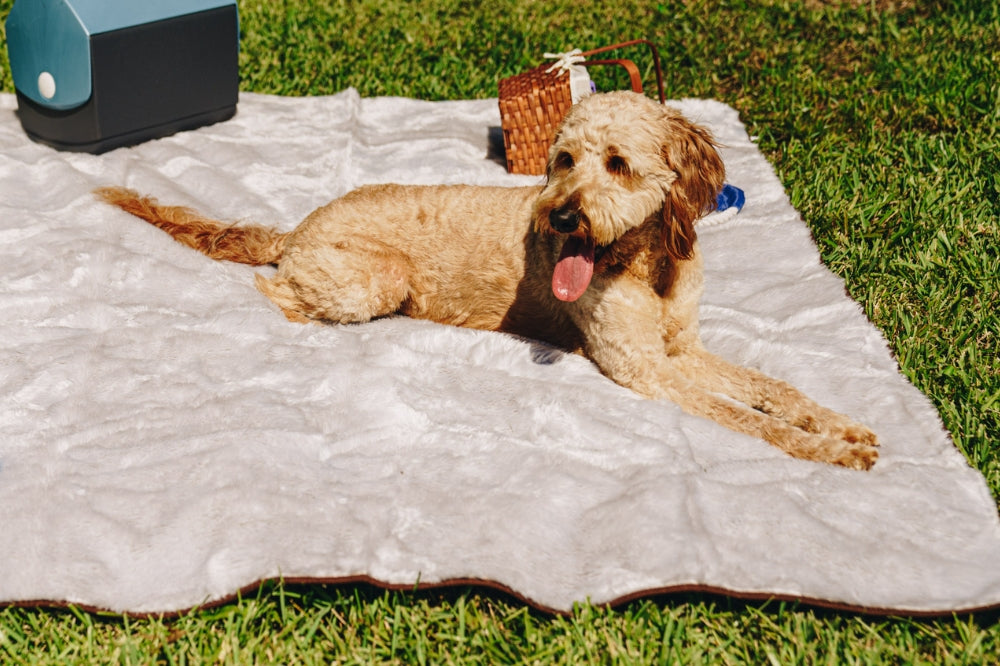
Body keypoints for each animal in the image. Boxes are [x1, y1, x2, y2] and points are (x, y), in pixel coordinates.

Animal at [95, 91, 876, 470]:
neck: (644, 261)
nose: (561, 217)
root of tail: (298, 226)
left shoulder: (683, 351)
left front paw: (839, 426)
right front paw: (831, 452)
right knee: (278, 291)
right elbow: (748, 417)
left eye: (617, 163)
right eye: (563, 159)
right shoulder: (648, 372)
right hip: (377, 279)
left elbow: (775, 391)